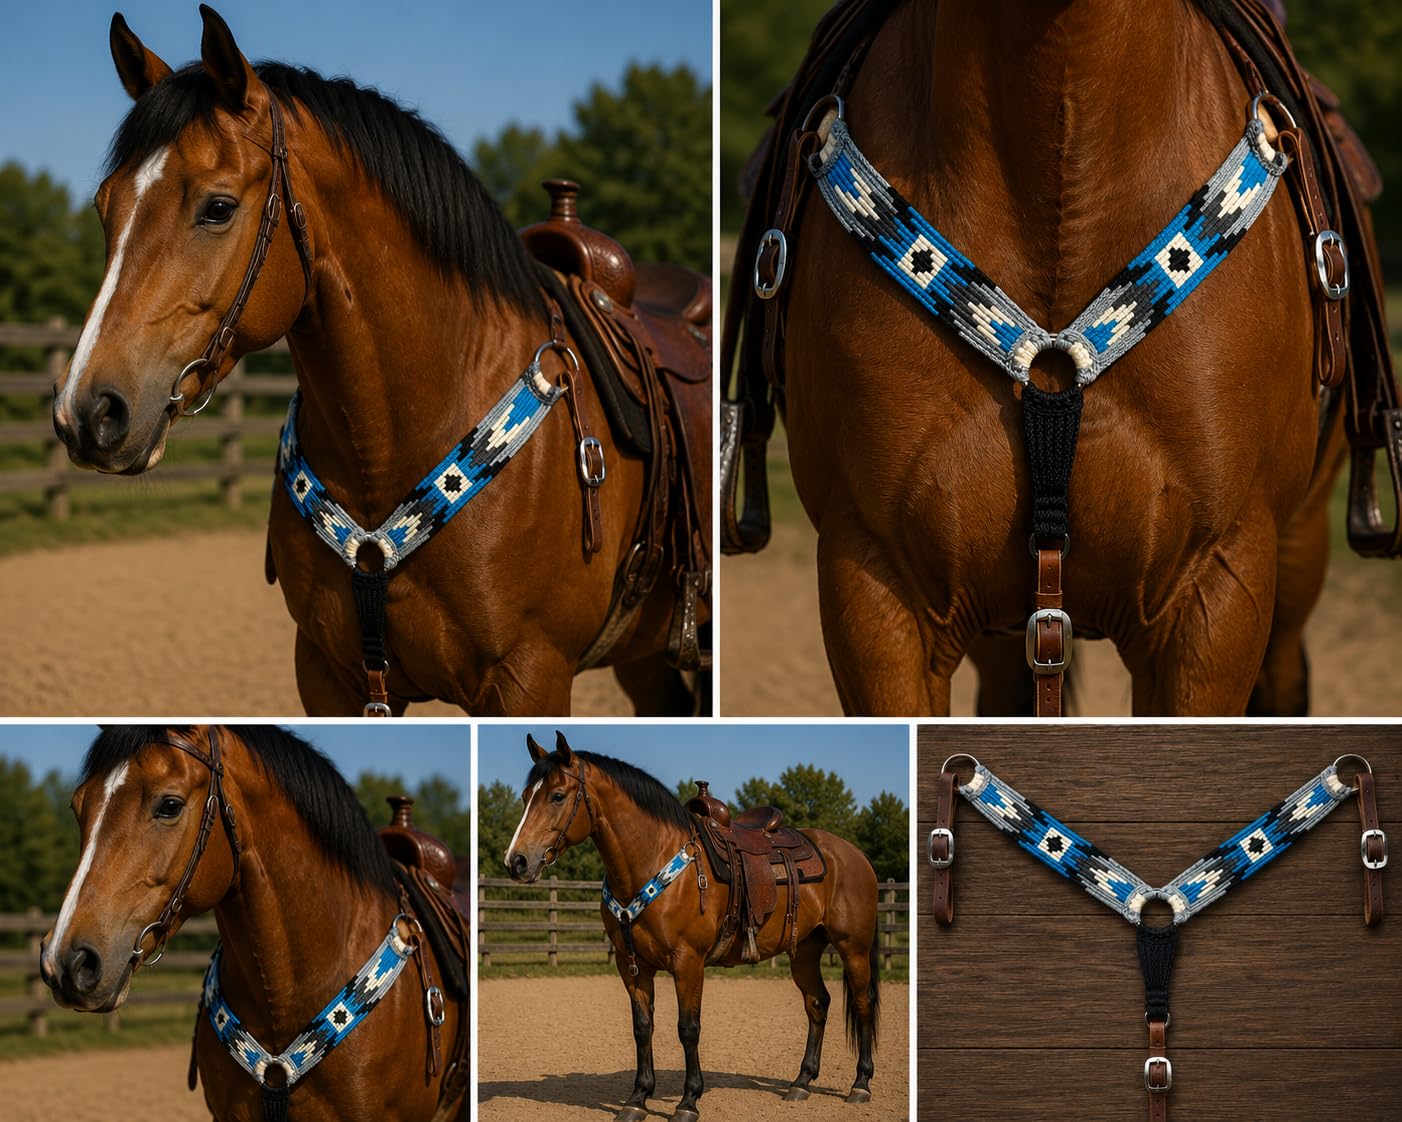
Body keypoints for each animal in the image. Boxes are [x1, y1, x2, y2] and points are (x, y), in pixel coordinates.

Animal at [504, 732, 882, 1120]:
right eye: (525, 796)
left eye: (557, 796)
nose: (516, 861)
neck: (653, 858)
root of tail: (853, 855)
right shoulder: (632, 965)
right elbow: (643, 1028)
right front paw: (637, 1099)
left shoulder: (688, 962)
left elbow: (688, 1029)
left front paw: (688, 1101)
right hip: (805, 950)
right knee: (817, 1003)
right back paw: (801, 1082)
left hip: (853, 948)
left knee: (863, 1004)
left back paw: (860, 1085)